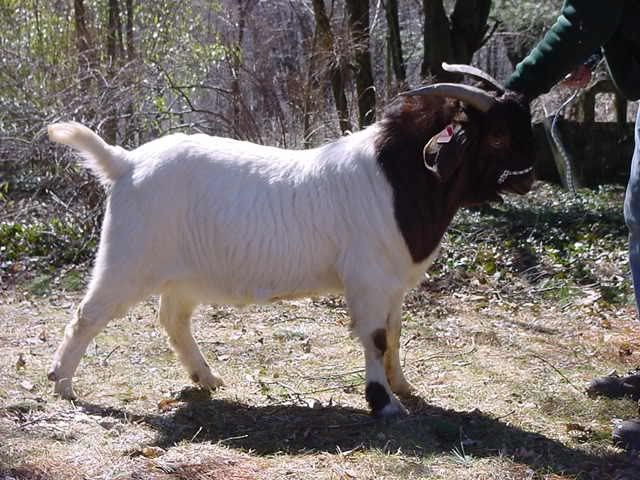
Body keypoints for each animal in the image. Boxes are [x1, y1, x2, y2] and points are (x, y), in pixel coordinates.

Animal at [46, 65, 535, 416]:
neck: (395, 178)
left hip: (182, 276)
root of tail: (124, 163)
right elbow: (376, 338)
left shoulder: (392, 283)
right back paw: (63, 384)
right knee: (87, 315)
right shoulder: (368, 280)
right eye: (496, 136)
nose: (528, 178)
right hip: (126, 261)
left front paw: (404, 387)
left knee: (173, 319)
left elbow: (395, 334)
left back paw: (206, 378)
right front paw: (384, 404)